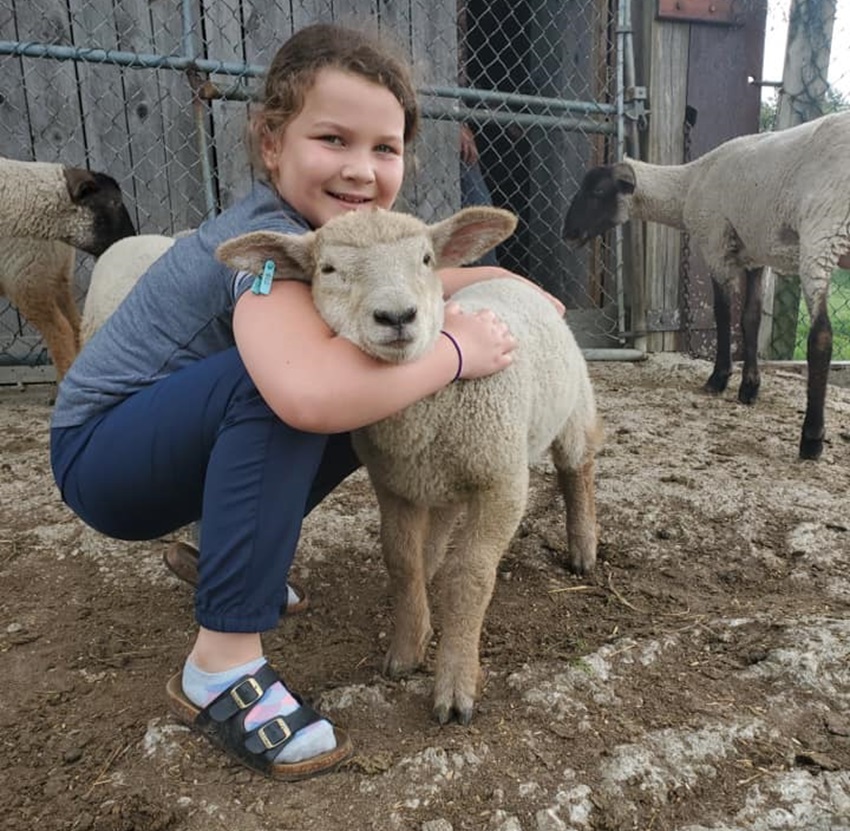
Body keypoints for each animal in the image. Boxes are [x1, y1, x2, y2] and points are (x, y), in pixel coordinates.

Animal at [216, 206, 602, 725]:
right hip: (439, 477)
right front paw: (407, 647)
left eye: (425, 259)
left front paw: (456, 685)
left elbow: (470, 576)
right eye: (328, 270)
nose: (397, 316)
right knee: (442, 521)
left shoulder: (502, 482)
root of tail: (513, 280)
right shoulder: (393, 484)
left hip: (573, 404)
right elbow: (401, 561)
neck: (430, 403)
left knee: (577, 468)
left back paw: (583, 547)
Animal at [562, 110, 850, 461]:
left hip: (822, 233)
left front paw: (718, 378)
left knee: (821, 336)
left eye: (598, 192)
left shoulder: (715, 244)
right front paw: (749, 388)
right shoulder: (754, 252)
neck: (688, 183)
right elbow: (750, 318)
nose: (568, 233)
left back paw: (811, 439)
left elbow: (723, 315)